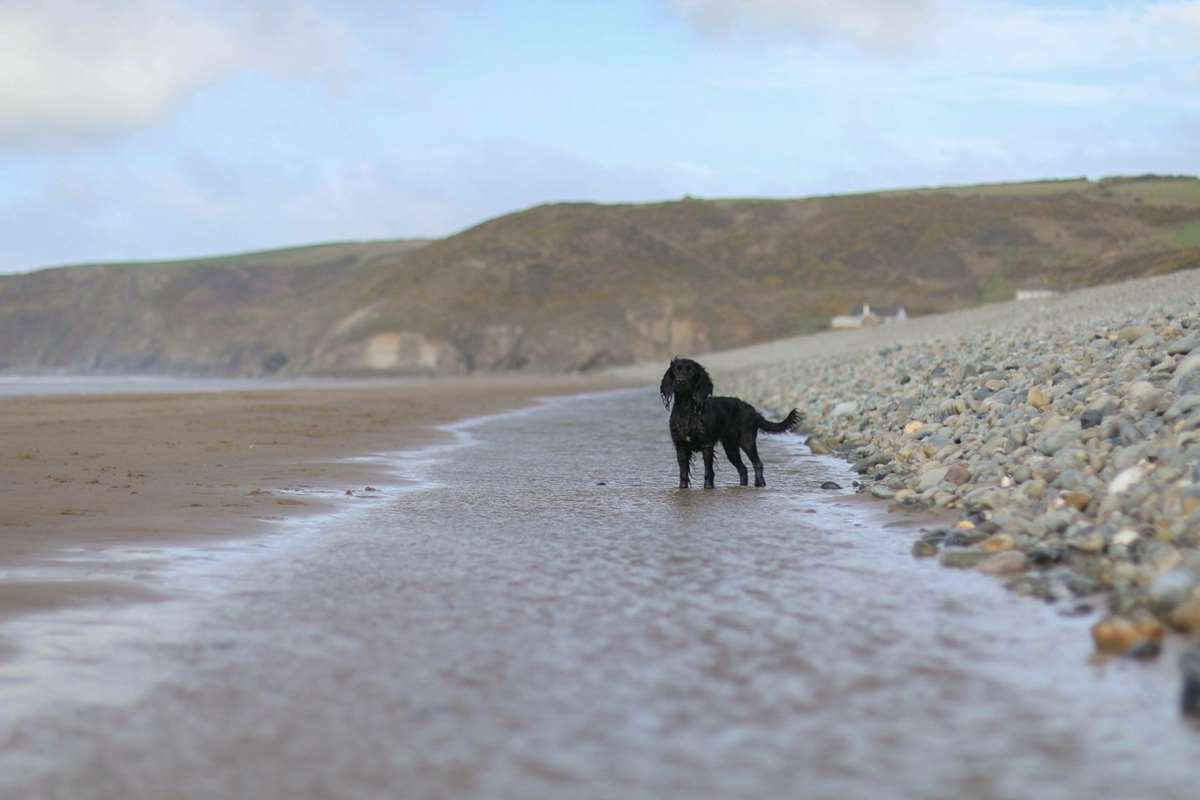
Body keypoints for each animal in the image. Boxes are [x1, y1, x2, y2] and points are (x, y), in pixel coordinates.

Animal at [662, 357, 801, 489]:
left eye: (691, 371)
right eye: (675, 370)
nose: (680, 381)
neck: (687, 410)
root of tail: (753, 410)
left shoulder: (707, 445)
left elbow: (708, 471)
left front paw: (708, 487)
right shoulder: (680, 447)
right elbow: (683, 473)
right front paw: (682, 489)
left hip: (747, 441)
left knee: (757, 463)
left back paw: (760, 484)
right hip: (731, 448)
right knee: (743, 468)